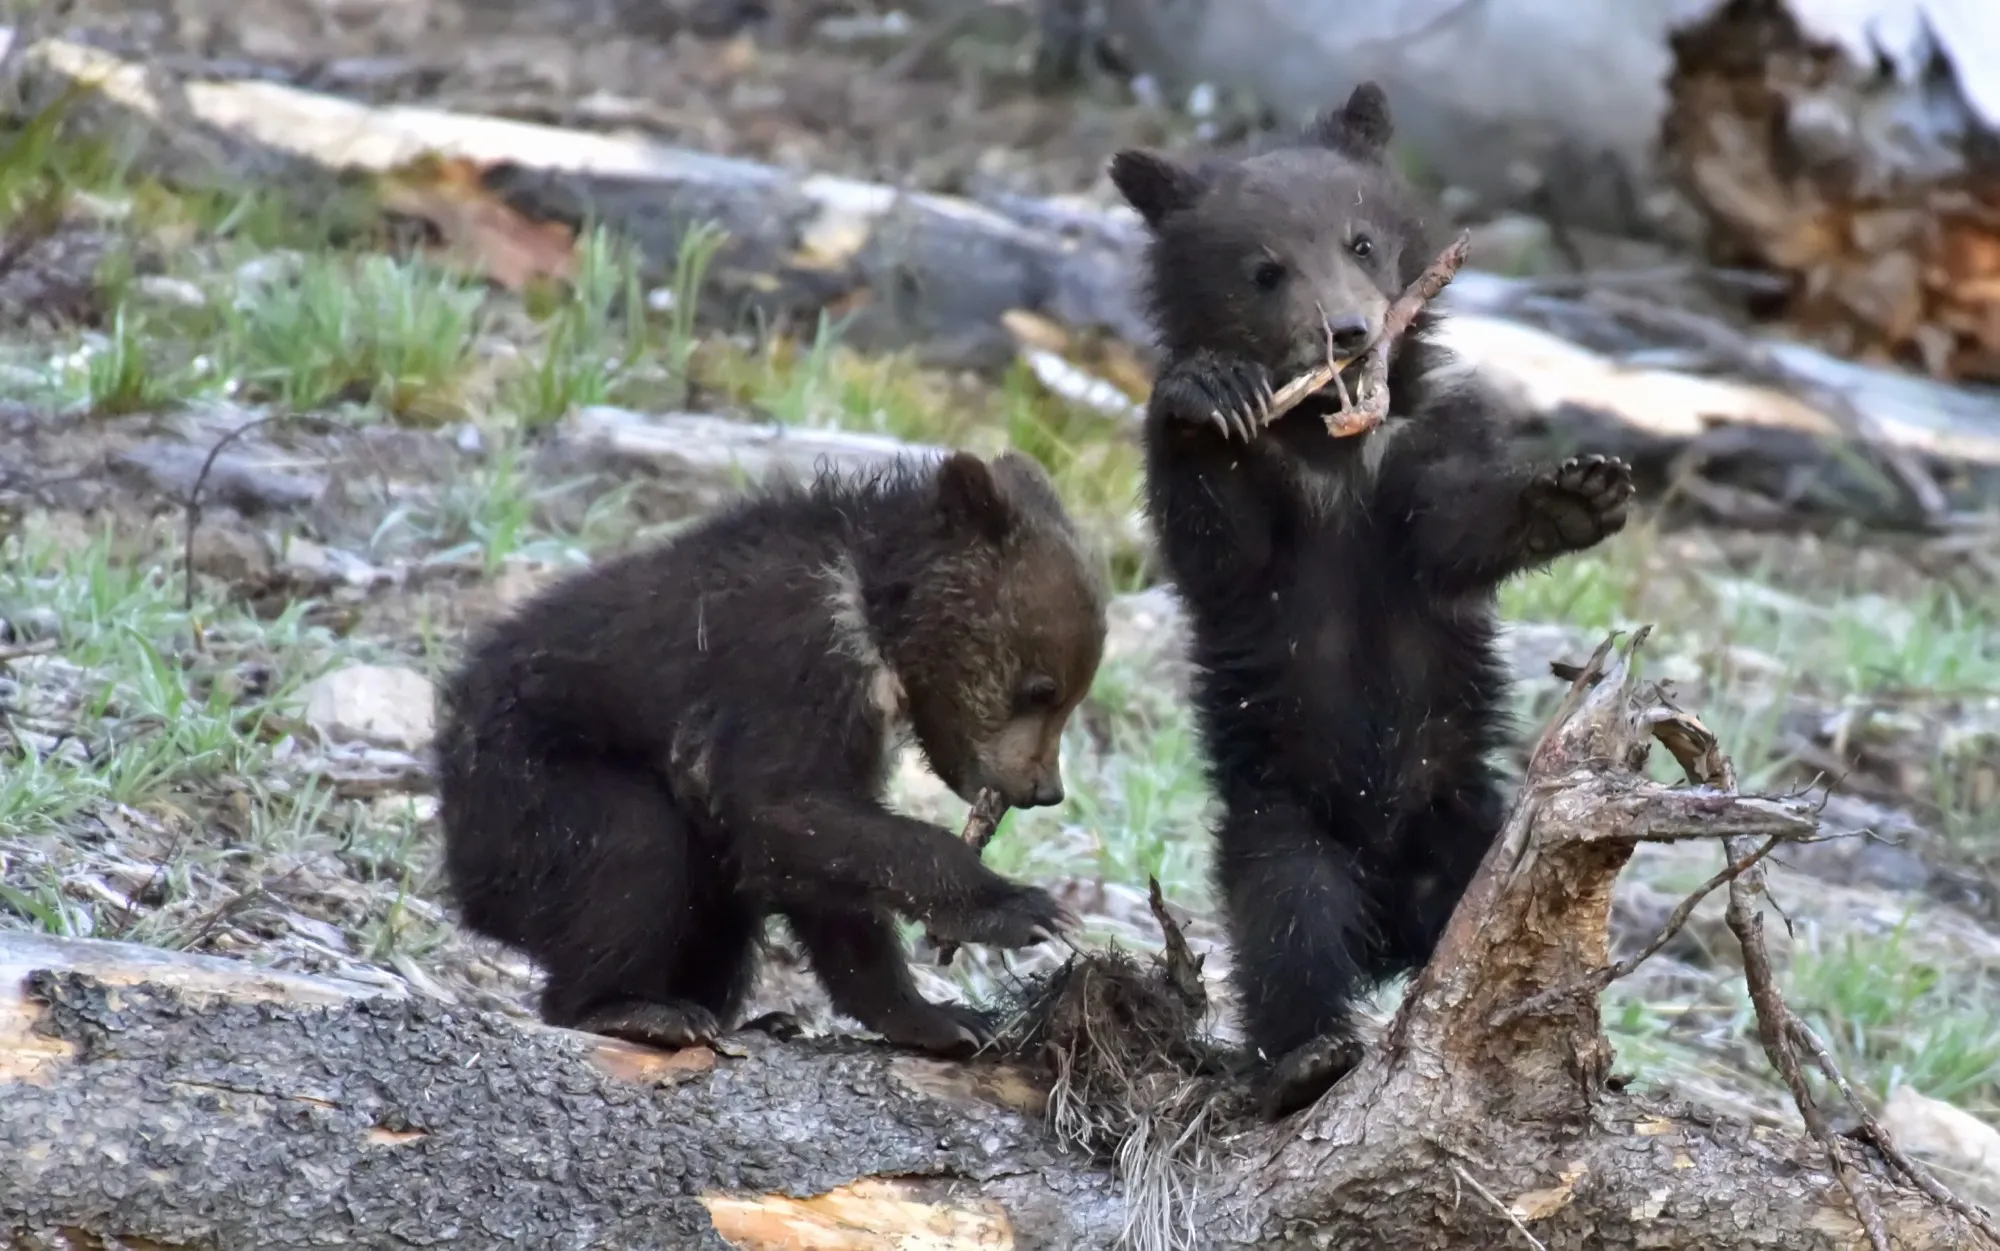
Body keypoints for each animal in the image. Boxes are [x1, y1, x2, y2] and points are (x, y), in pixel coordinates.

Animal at [432, 450, 1108, 1059]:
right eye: (1041, 690)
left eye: (1074, 693)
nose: (1044, 789)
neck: (873, 610)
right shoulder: (787, 662)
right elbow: (782, 806)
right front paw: (1022, 909)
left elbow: (826, 867)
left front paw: (941, 1018)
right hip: (527, 792)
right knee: (632, 844)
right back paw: (635, 1008)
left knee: (718, 915)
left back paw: (743, 1015)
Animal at [1108, 81, 1636, 1115]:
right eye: (1265, 269)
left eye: (1359, 240)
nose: (1349, 333)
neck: (1332, 436)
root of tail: (1391, 916)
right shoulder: (1272, 523)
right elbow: (1221, 543)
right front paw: (1208, 394)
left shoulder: (1423, 446)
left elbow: (1451, 532)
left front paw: (1575, 492)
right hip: (1284, 818)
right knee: (1290, 928)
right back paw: (1306, 1058)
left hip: (1469, 816)